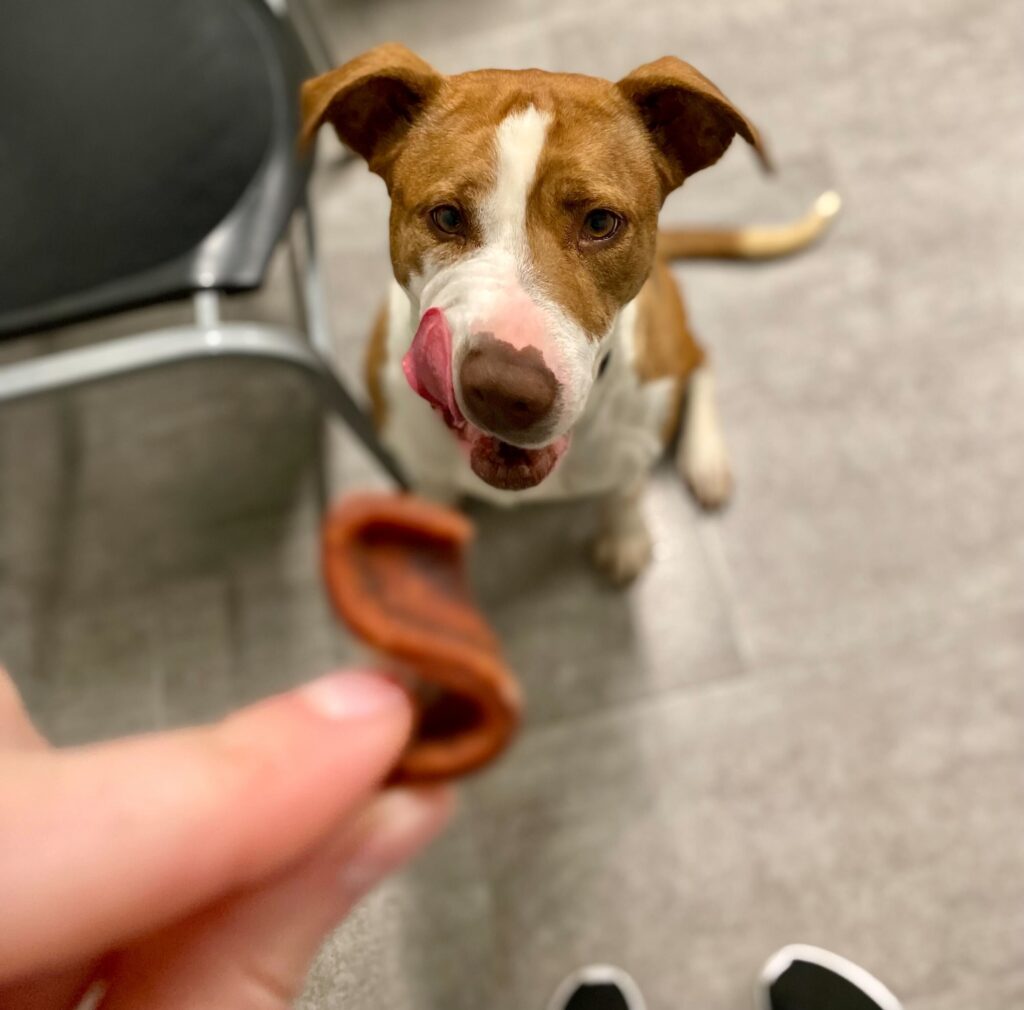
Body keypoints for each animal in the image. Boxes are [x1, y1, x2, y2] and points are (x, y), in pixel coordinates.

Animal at [299, 45, 835, 581]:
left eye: (600, 223)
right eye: (447, 216)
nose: (505, 393)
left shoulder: (630, 451)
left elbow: (624, 491)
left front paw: (625, 535)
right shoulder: (424, 472)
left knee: (699, 357)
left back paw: (706, 459)